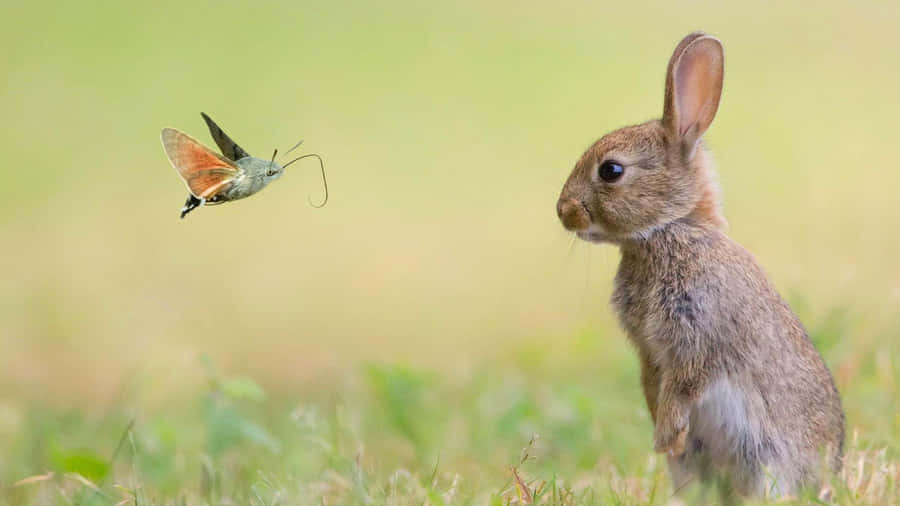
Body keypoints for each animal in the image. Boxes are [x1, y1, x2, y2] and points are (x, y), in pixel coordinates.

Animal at [555, 32, 844, 498]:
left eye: (611, 170)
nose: (563, 212)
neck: (669, 231)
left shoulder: (699, 334)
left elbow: (685, 382)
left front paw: (665, 434)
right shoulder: (649, 350)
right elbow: (653, 380)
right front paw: (661, 431)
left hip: (767, 462)